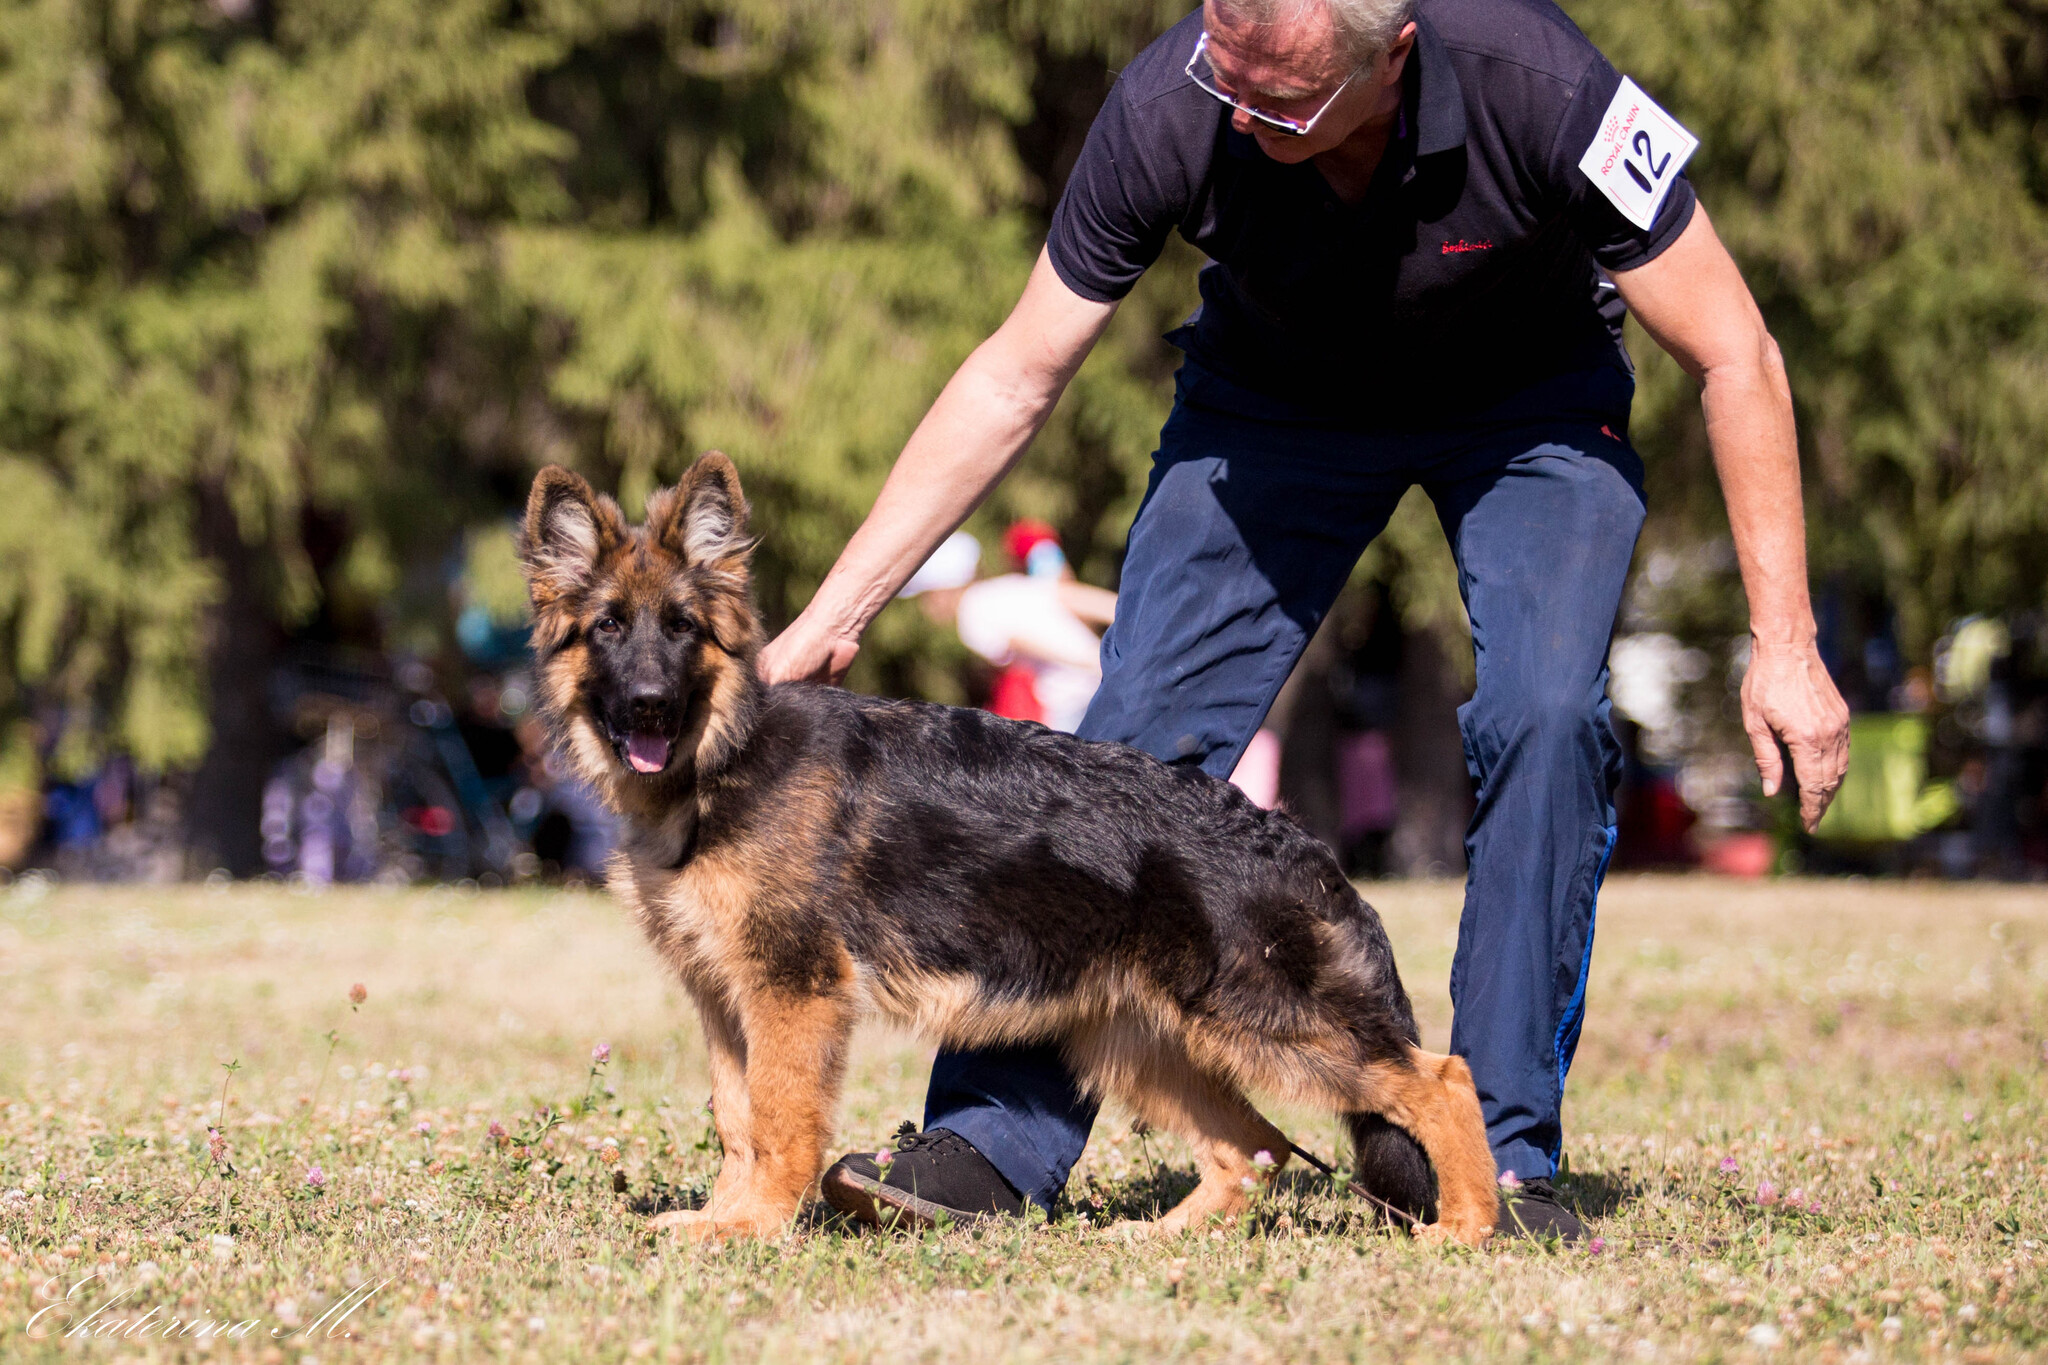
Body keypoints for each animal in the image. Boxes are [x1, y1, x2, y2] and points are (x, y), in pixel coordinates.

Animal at [520, 454, 1499, 1244]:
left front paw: (754, 1225)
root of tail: (1295, 837)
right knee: (1252, 1147)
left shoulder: (792, 994)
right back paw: (1160, 1240)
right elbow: (738, 1117)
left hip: (1271, 1025)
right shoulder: (727, 995)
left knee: (1443, 1079)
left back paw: (1466, 1227)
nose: (649, 704)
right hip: (1147, 1042)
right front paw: (722, 1217)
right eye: (609, 628)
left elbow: (781, 1119)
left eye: (683, 628)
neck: (722, 759)